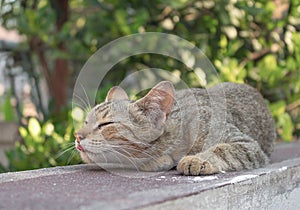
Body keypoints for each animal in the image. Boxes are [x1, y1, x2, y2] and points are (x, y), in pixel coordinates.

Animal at [74, 81, 276, 176]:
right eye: (86, 122)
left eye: (105, 124)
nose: (77, 136)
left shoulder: (247, 144)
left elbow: (222, 149)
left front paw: (197, 159)